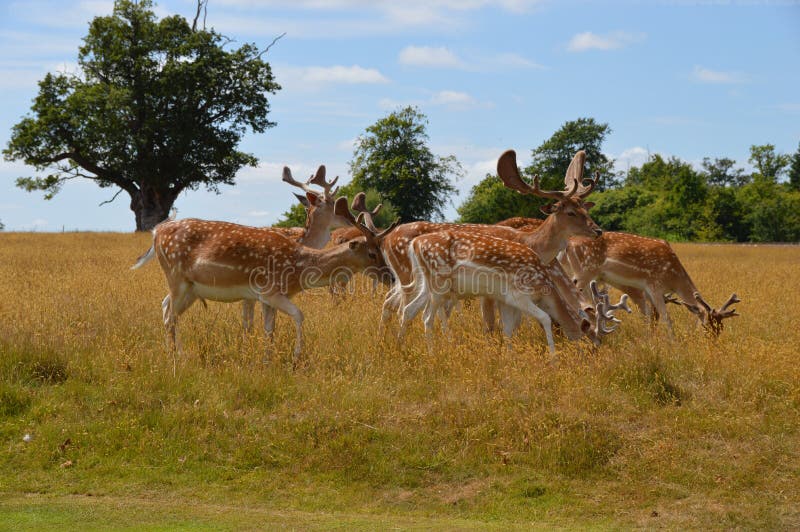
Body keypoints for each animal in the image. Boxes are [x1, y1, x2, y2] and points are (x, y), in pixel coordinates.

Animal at [132, 197, 400, 364]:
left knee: (166, 308)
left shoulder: (265, 297)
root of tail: (156, 233)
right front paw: (296, 357)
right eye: (372, 253)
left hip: (190, 289)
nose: (391, 276)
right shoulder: (269, 290)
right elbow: (299, 315)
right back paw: (177, 357)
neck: (298, 270)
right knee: (170, 315)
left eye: (382, 248)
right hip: (175, 276)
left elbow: (269, 329)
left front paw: (266, 359)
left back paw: (174, 351)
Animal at [564, 231, 740, 334]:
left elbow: (649, 317)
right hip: (585, 271)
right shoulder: (654, 285)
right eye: (705, 325)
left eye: (721, 328)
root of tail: (568, 243)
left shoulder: (647, 290)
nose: (713, 343)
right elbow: (666, 319)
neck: (673, 277)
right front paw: (673, 346)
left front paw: (649, 339)